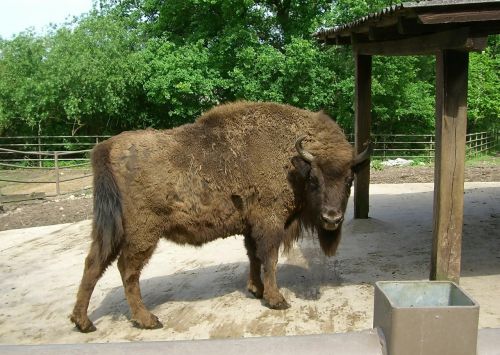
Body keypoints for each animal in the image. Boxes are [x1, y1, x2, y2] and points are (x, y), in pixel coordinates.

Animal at [70, 101, 372, 332]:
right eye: (314, 180)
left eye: (349, 180)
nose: (332, 218)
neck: (292, 163)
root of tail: (107, 148)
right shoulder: (269, 223)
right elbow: (270, 259)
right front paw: (276, 300)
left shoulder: (250, 227)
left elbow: (254, 257)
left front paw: (256, 290)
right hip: (143, 233)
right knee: (127, 269)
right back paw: (148, 320)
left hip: (110, 228)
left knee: (93, 264)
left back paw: (82, 322)